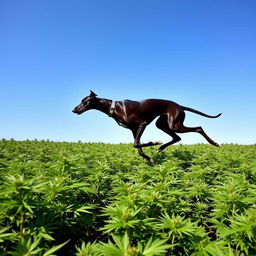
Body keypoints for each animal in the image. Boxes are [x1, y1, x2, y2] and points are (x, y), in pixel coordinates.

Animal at [73, 91, 221, 163]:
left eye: (84, 102)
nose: (74, 110)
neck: (114, 107)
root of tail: (179, 106)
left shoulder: (141, 124)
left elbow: (136, 144)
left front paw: (154, 142)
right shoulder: (134, 130)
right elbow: (138, 147)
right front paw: (150, 159)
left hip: (174, 124)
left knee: (198, 128)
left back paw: (214, 143)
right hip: (162, 124)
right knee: (177, 138)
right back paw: (160, 148)